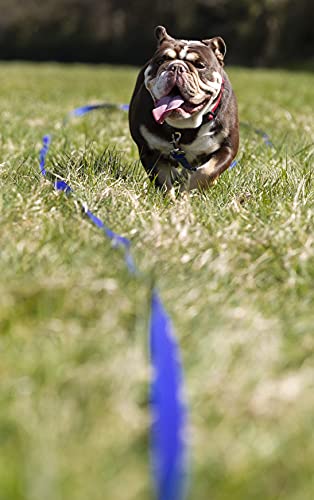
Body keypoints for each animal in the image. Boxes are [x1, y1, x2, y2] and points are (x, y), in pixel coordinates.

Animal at [129, 26, 239, 195]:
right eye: (161, 61)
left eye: (200, 65)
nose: (176, 67)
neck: (185, 126)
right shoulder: (149, 150)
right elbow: (162, 179)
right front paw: (170, 198)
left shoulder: (227, 148)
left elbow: (205, 172)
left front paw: (185, 192)